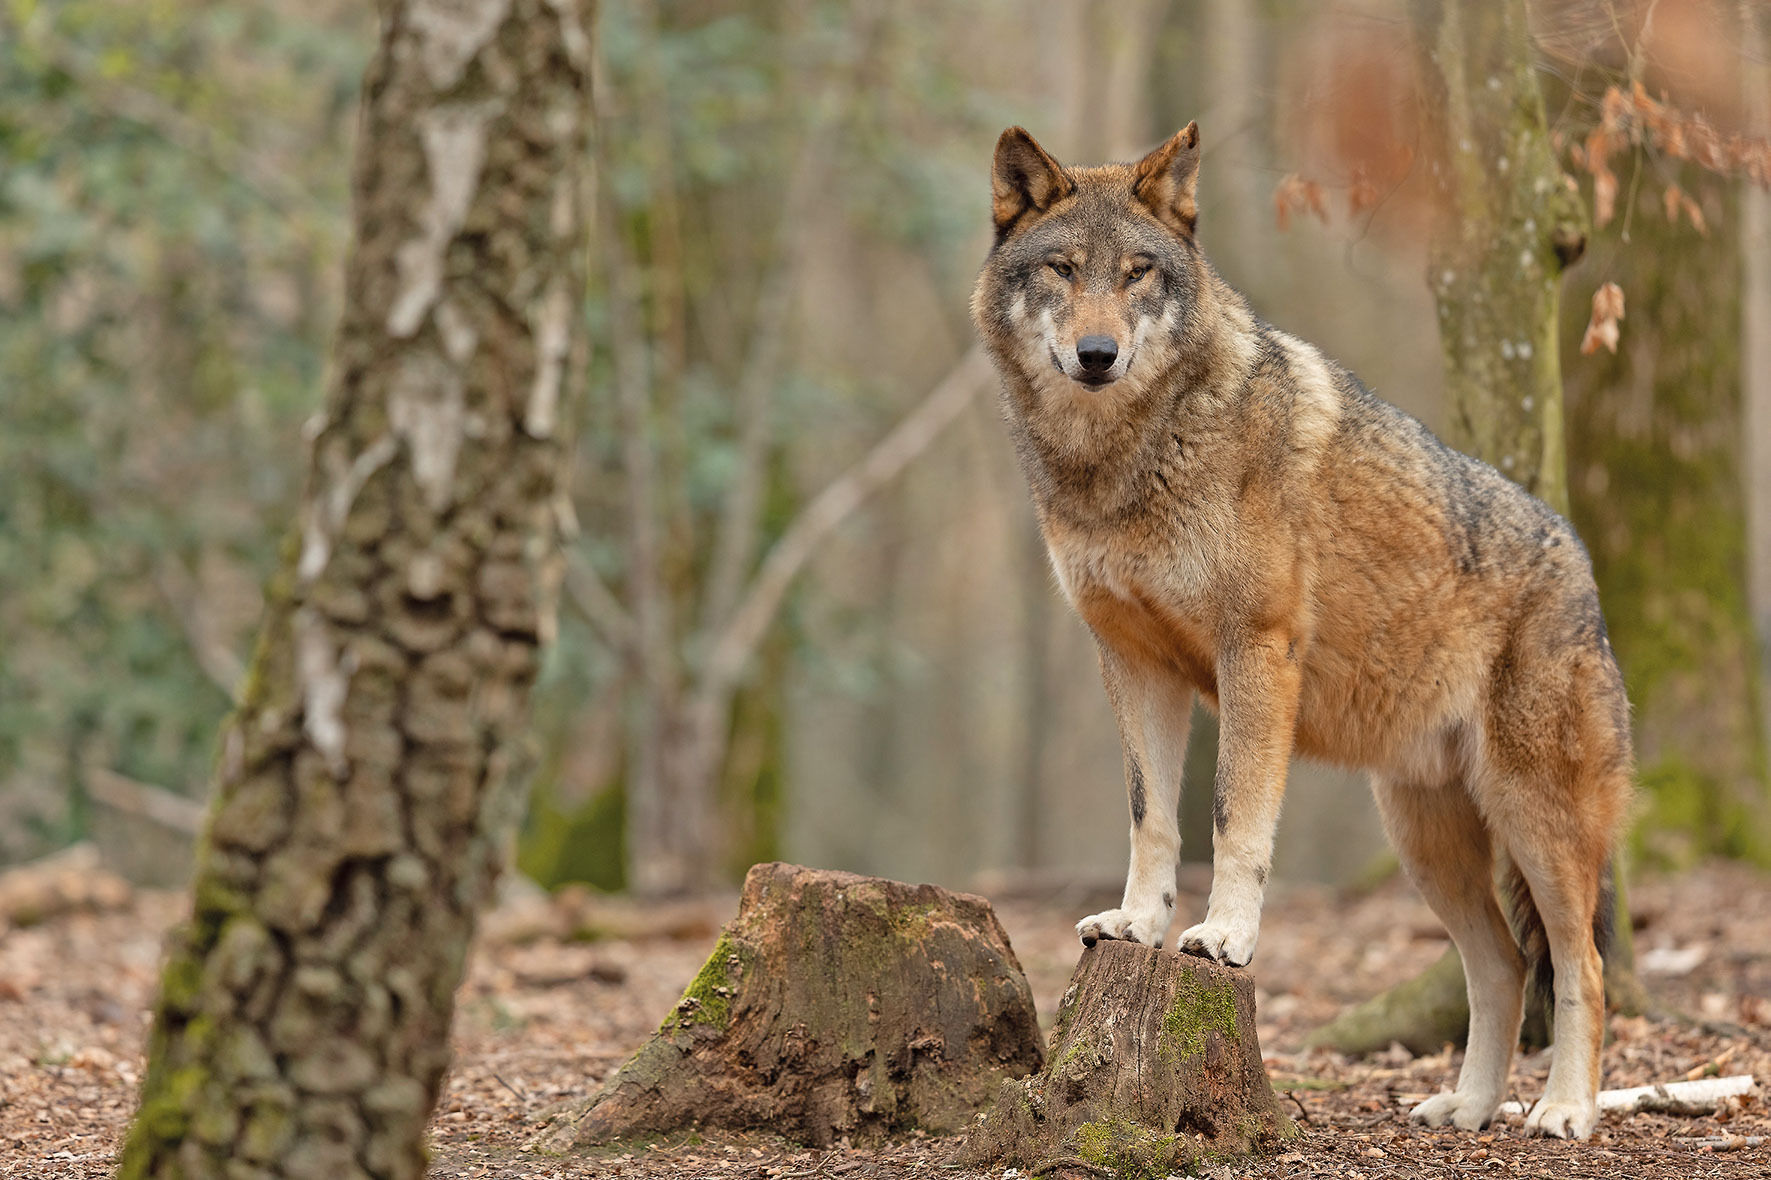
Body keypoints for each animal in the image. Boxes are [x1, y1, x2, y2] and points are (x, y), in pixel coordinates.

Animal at [970, 124, 1629, 1133]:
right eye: (1062, 268)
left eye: (1136, 274)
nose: (1096, 353)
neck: (1123, 460)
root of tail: (1581, 564)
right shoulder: (1131, 663)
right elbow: (1151, 817)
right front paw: (1138, 925)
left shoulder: (1256, 652)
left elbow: (1232, 815)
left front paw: (1223, 937)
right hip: (1425, 843)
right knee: (1504, 967)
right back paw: (1468, 1108)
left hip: (1534, 823)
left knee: (1580, 966)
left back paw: (1562, 1112)